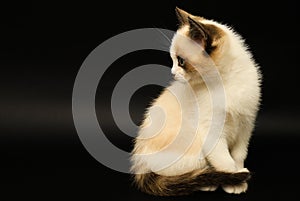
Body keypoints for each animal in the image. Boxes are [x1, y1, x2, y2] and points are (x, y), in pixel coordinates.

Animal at [130, 7, 262, 196]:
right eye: (173, 60)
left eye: (181, 61)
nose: (172, 73)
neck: (225, 83)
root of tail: (141, 164)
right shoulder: (211, 132)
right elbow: (226, 161)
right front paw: (235, 180)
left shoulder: (245, 126)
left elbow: (238, 155)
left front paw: (239, 175)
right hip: (193, 147)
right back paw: (207, 183)